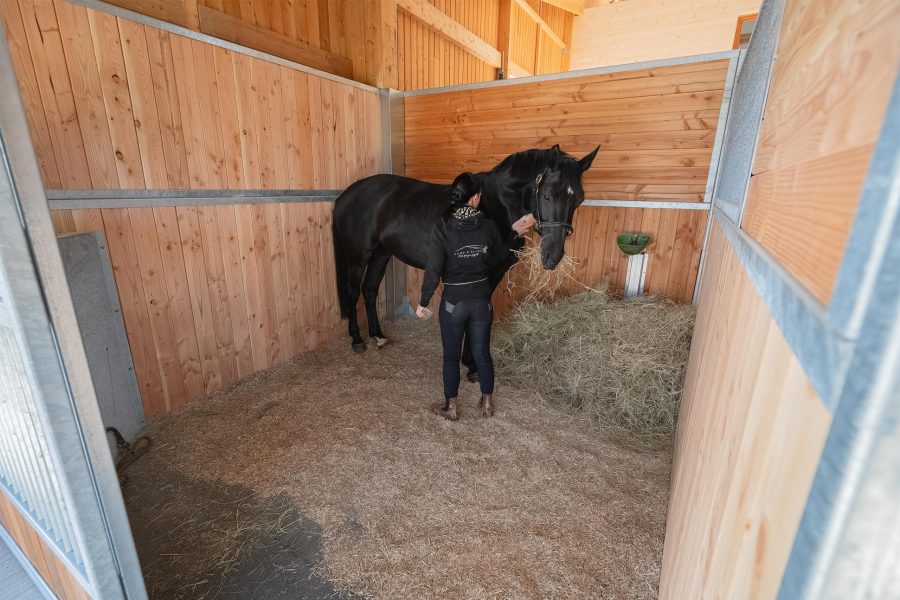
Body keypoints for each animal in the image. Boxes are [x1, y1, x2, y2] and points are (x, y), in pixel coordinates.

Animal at [330, 144, 596, 354]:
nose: (553, 255)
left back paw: (378, 336)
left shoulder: (496, 271)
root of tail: (346, 195)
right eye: (548, 195)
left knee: (370, 290)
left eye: (579, 200)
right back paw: (357, 340)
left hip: (381, 253)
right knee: (353, 293)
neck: (497, 206)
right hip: (357, 257)